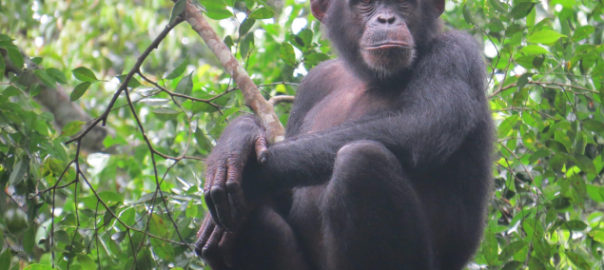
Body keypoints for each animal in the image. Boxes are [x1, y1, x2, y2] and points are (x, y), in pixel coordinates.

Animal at [196, 0, 494, 268]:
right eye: (367, 4)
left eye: (404, 3)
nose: (387, 19)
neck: (367, 76)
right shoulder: (313, 82)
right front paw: (238, 136)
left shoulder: (456, 51)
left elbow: (422, 123)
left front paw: (250, 173)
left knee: (360, 161)